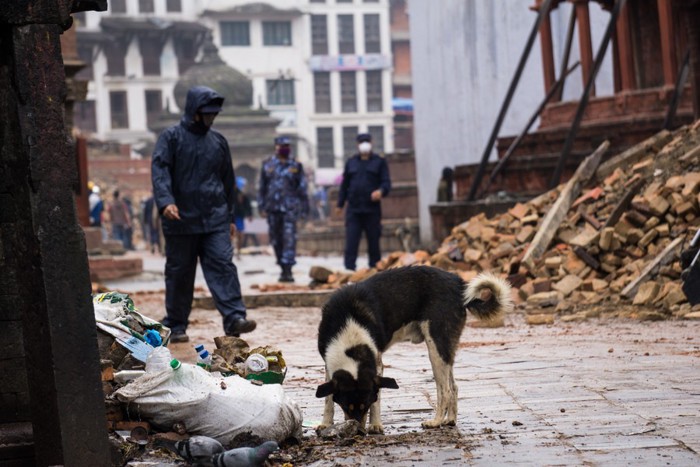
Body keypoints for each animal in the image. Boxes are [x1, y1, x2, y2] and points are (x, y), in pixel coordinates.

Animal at [314, 266, 512, 434]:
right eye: (346, 407)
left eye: (366, 404)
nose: (359, 432)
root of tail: (459, 284)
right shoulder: (328, 364)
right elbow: (328, 400)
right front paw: (326, 424)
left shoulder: (377, 364)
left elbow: (376, 397)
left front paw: (376, 425)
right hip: (446, 349)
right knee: (454, 386)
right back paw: (450, 420)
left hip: (436, 348)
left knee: (445, 390)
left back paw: (436, 421)